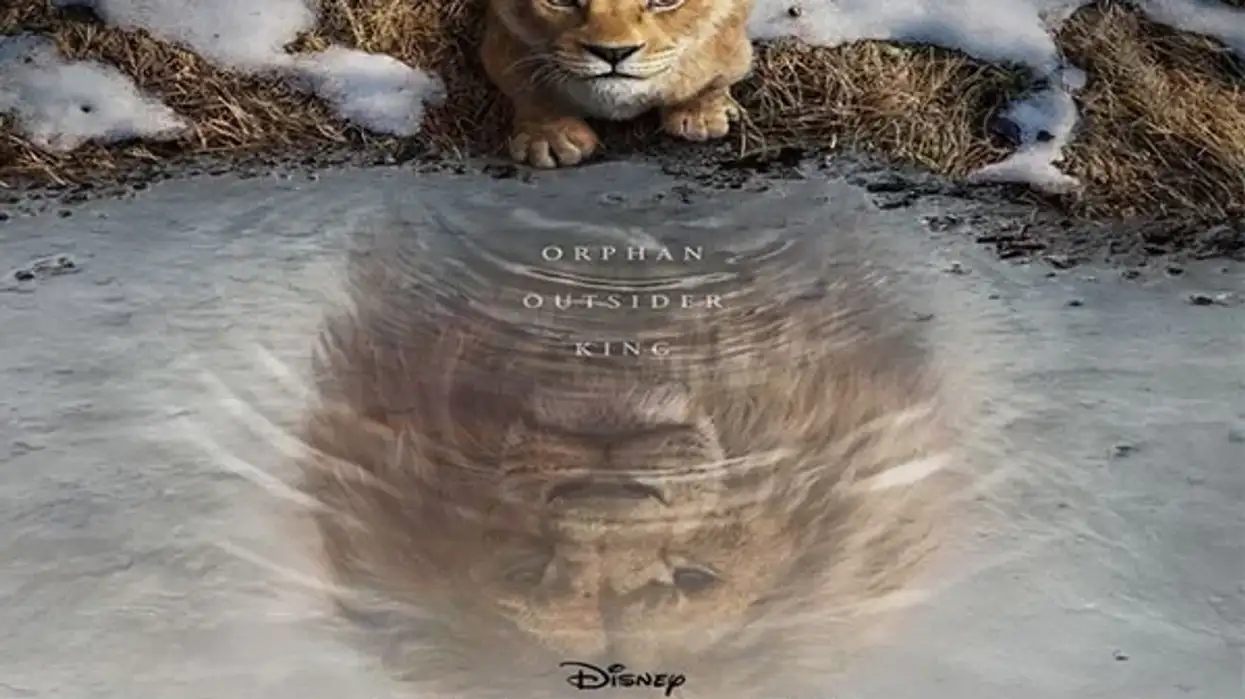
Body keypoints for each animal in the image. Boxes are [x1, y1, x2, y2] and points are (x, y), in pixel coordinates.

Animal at [481, 0, 755, 169]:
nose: (613, 53)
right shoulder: (502, 38)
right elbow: (526, 84)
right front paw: (549, 137)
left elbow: (720, 66)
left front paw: (700, 115)